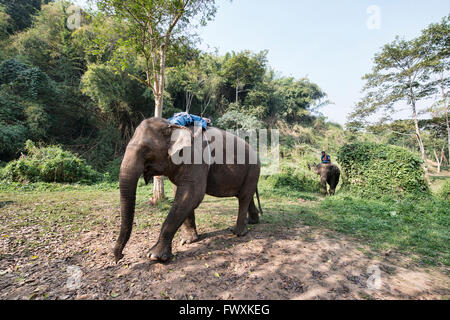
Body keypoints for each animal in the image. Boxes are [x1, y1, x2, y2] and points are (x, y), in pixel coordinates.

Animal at [113, 117, 264, 262]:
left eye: (146, 149)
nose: (120, 257)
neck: (173, 124)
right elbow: (182, 194)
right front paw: (188, 240)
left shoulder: (196, 159)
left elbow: (192, 194)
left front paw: (154, 256)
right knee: (246, 196)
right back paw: (252, 222)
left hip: (253, 170)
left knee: (244, 197)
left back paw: (238, 232)